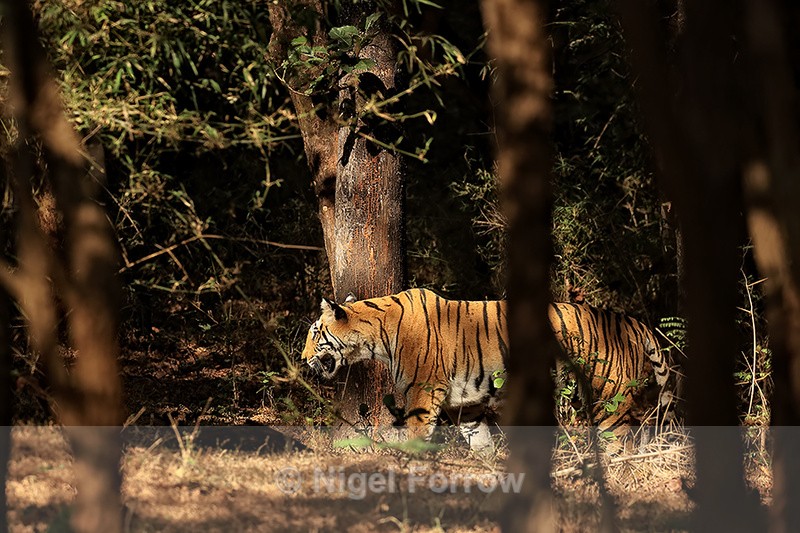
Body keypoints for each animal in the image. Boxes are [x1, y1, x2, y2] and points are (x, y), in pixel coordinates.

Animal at [301, 288, 672, 453]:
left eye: (316, 334)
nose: (303, 359)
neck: (376, 336)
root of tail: (632, 321)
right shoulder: (464, 403)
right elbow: (479, 438)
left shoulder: (423, 391)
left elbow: (418, 434)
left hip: (609, 397)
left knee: (620, 439)